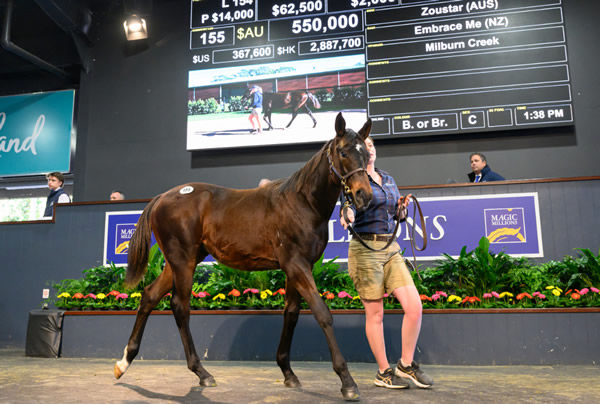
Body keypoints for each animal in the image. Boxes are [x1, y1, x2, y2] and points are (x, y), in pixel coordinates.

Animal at [113, 113, 370, 400]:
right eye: (343, 152)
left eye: (366, 154)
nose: (364, 195)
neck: (302, 203)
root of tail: (160, 198)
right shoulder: (296, 264)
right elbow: (322, 313)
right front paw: (347, 382)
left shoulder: (297, 267)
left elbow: (291, 313)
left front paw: (288, 373)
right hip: (182, 263)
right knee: (180, 307)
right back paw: (202, 373)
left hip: (177, 262)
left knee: (149, 296)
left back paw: (124, 363)